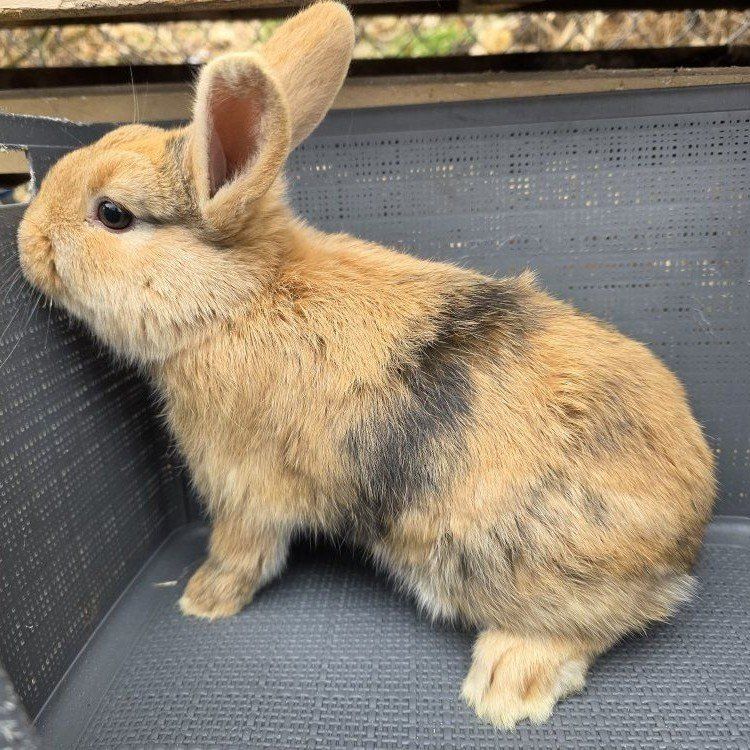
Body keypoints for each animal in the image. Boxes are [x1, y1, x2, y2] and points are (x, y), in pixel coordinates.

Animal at [17, 1, 715, 730]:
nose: (26, 238)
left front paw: (202, 600)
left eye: (112, 214)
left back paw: (504, 682)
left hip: (499, 561)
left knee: (596, 624)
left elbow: (241, 551)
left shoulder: (242, 486)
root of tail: (690, 528)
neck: (239, 298)